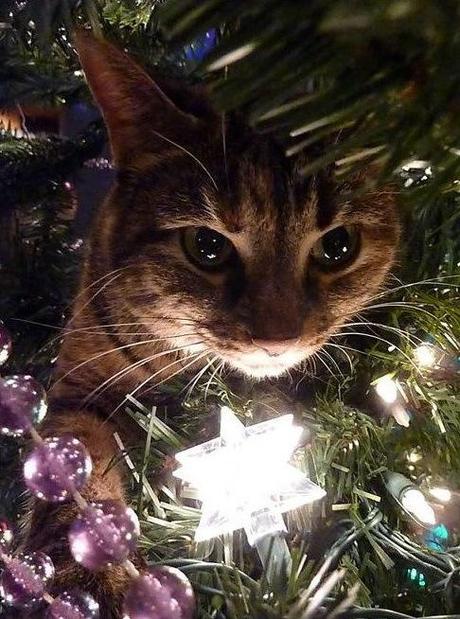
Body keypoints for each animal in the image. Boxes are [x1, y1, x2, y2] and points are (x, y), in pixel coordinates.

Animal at [18, 30, 398, 619]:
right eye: (207, 246)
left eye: (339, 246)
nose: (277, 340)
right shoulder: (80, 390)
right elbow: (74, 492)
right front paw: (91, 581)